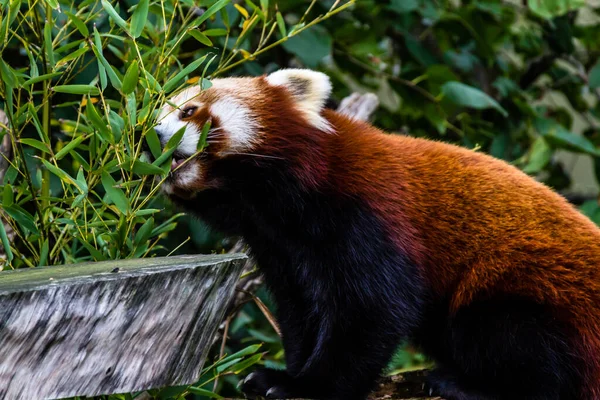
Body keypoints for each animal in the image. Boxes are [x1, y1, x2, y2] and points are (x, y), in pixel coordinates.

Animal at [156, 69, 600, 400]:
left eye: (189, 110)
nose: (154, 136)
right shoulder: (280, 247)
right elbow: (302, 310)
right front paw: (285, 373)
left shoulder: (370, 217)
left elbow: (373, 310)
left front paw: (308, 386)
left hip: (533, 291)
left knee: (519, 346)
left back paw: (468, 385)